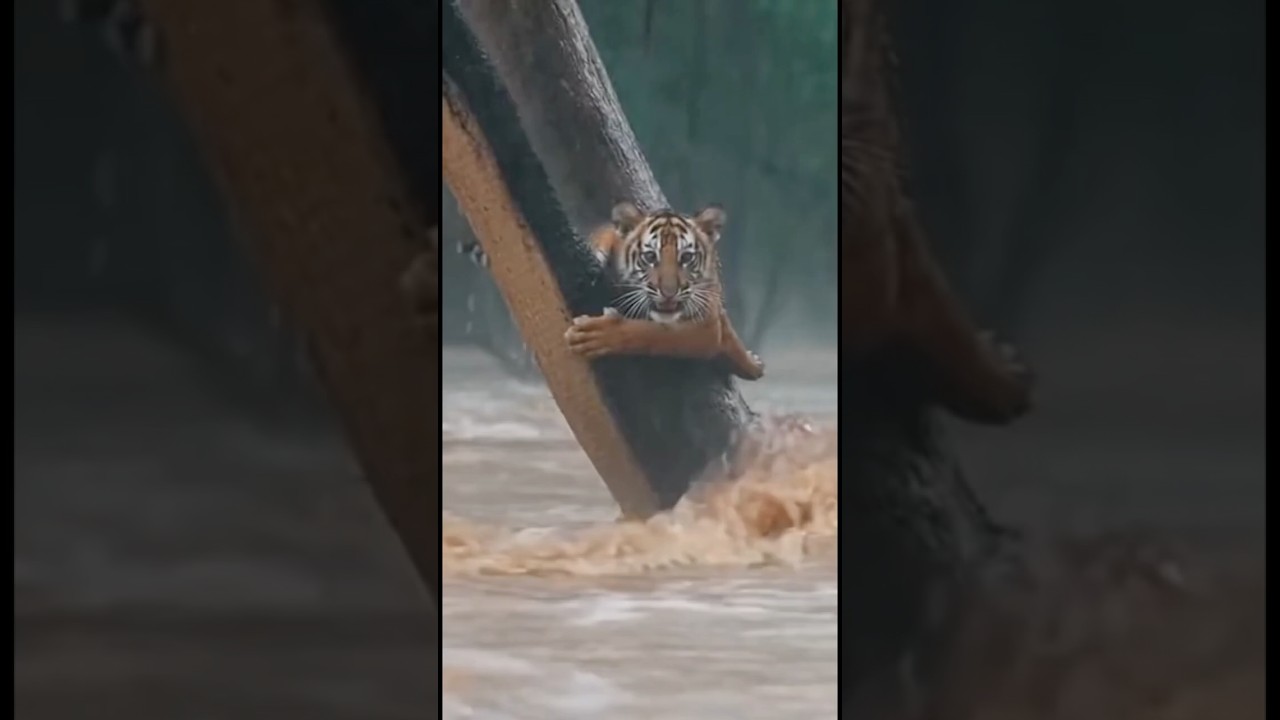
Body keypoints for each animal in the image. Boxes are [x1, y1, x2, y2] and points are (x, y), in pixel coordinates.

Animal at [562, 201, 765, 381]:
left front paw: (594, 335)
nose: (669, 292)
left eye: (686, 257)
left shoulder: (707, 323)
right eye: (650, 256)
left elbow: (654, 333)